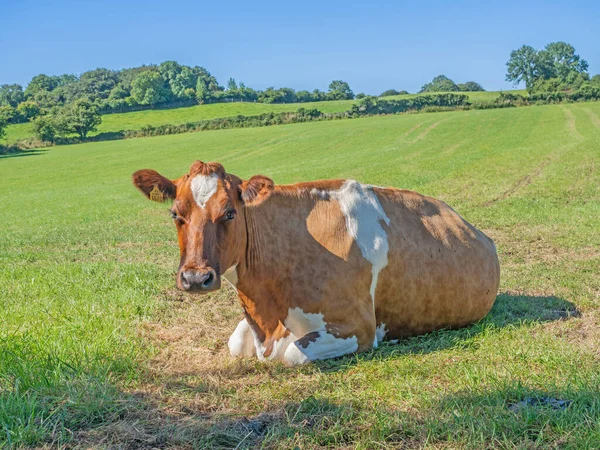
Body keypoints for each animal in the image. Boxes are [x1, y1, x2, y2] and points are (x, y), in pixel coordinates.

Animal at [132, 162, 502, 366]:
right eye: (175, 213)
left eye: (230, 213)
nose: (196, 278)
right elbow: (235, 343)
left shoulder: (360, 328)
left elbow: (292, 354)